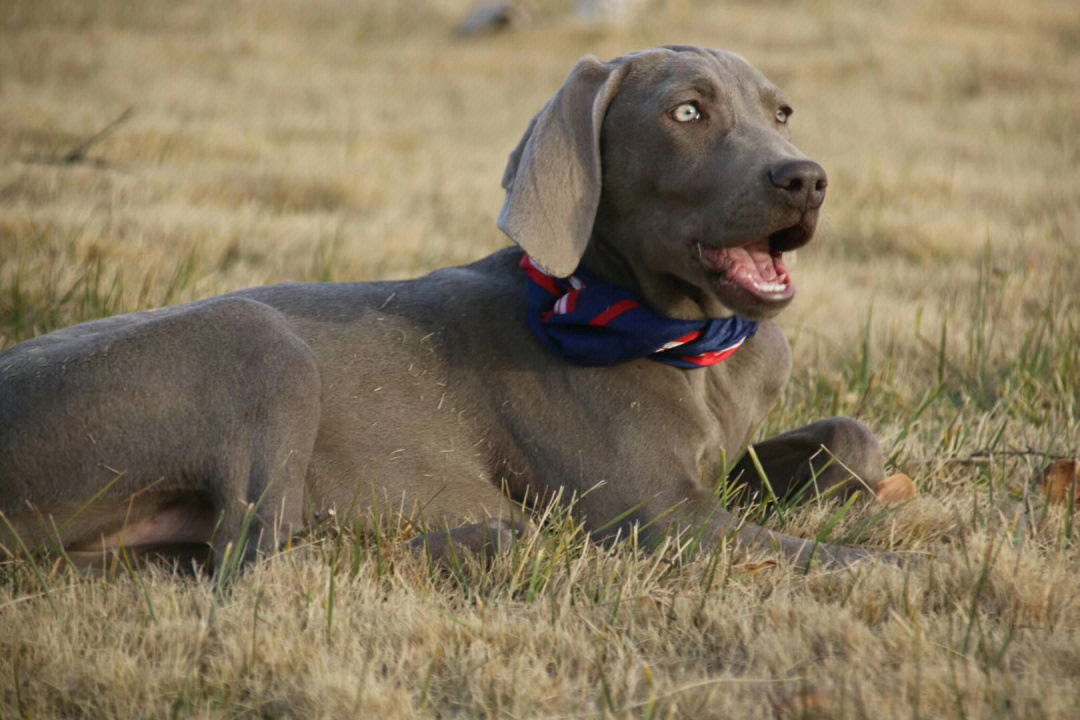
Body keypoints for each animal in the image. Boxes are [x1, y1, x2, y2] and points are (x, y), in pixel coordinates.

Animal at [0, 47, 885, 569]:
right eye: (688, 112)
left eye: (781, 113)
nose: (806, 178)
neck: (685, 339)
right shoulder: (662, 519)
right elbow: (833, 557)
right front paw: (904, 571)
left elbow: (854, 435)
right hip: (255, 338)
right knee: (255, 553)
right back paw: (480, 536)